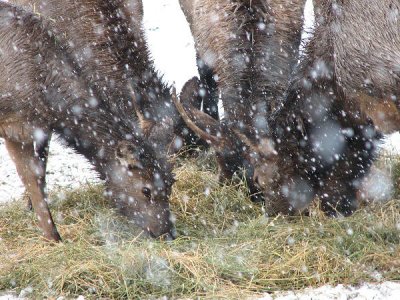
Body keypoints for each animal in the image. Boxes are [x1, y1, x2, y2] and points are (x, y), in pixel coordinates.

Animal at [0, 1, 175, 241]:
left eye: (170, 183)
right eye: (145, 190)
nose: (167, 232)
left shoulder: (39, 127)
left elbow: (39, 173)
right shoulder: (14, 123)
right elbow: (31, 177)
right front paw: (53, 237)